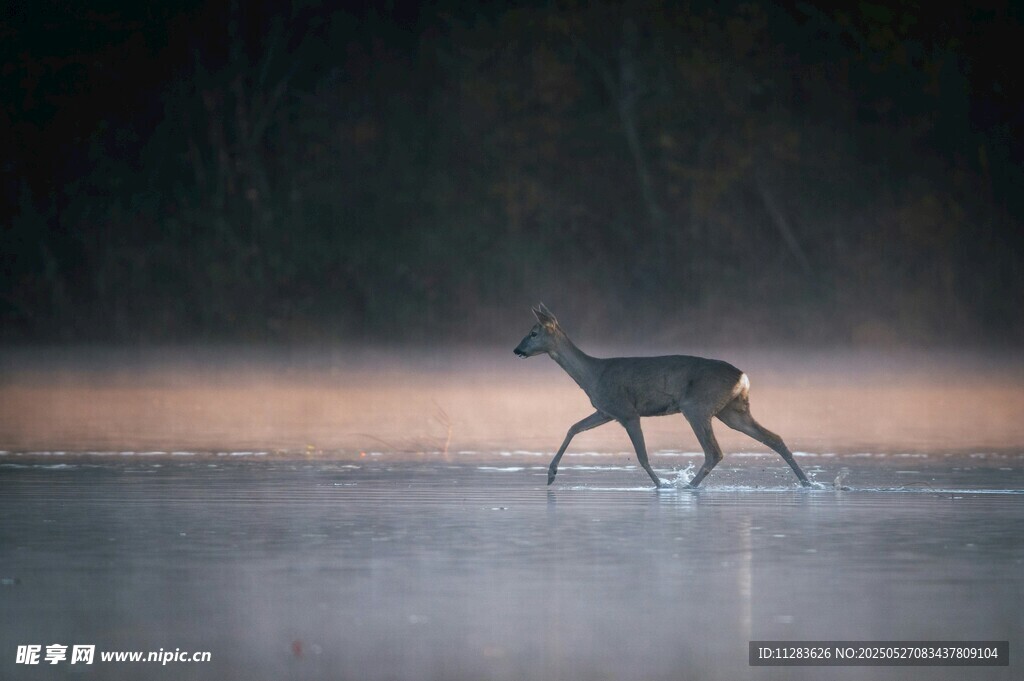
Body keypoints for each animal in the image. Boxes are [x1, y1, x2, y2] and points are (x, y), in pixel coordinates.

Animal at [513, 303, 811, 489]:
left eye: (533, 332)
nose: (517, 350)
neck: (593, 375)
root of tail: (744, 376)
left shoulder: (627, 411)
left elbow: (642, 456)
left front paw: (661, 485)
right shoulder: (606, 410)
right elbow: (573, 427)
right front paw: (551, 474)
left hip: (697, 406)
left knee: (714, 451)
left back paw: (688, 487)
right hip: (732, 410)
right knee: (774, 438)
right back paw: (806, 482)